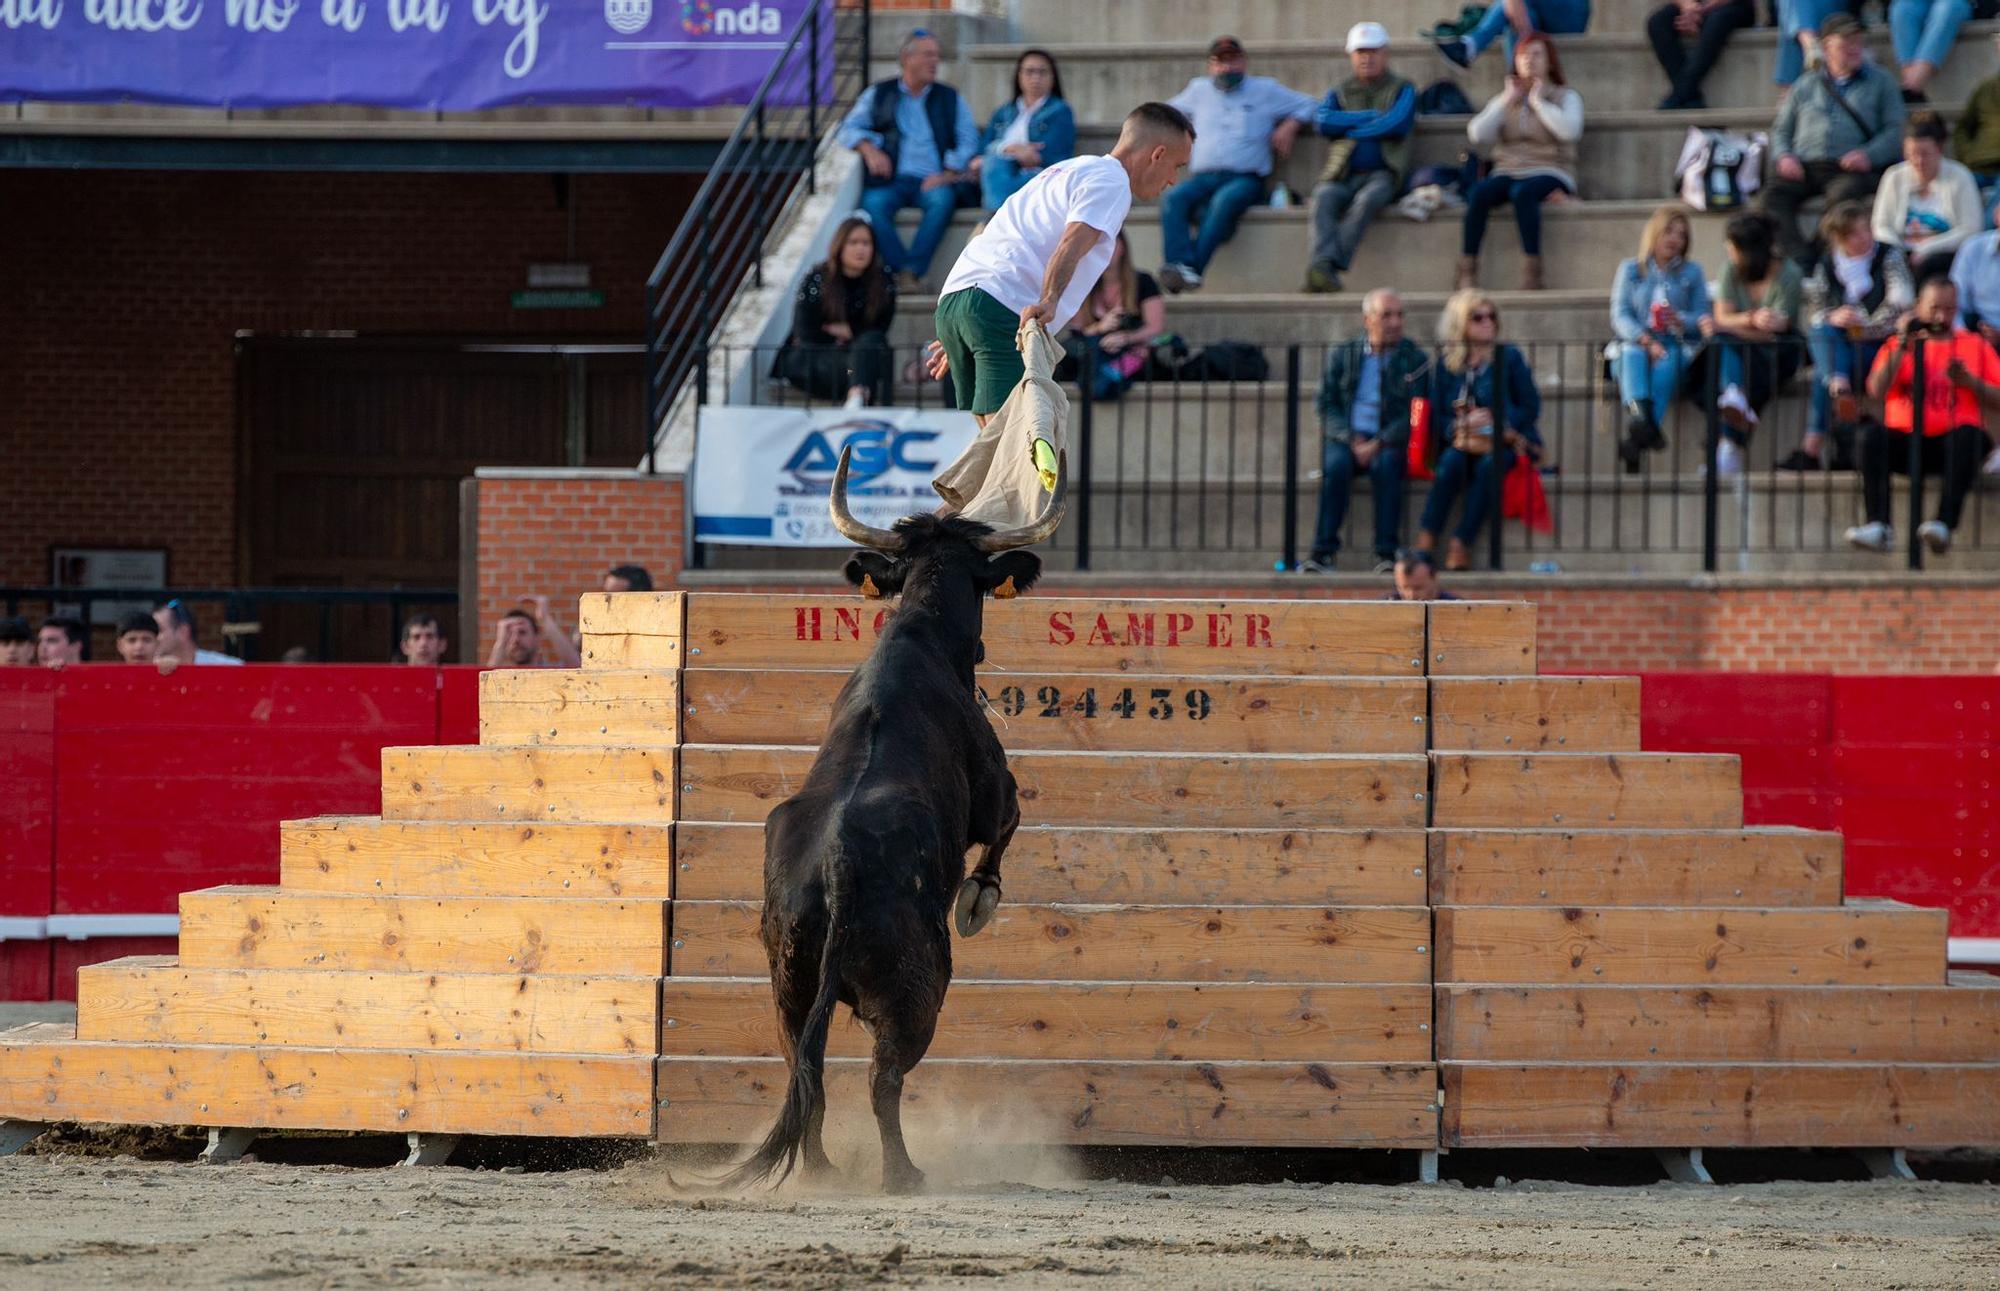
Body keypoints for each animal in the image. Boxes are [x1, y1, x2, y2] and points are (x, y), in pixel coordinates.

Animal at [716, 449, 1064, 1199]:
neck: (920, 638)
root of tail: (835, 866)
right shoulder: (996, 792)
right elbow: (1006, 826)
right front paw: (978, 900)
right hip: (918, 987)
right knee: (884, 1076)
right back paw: (903, 1173)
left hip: (788, 987)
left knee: (805, 1070)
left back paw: (820, 1170)